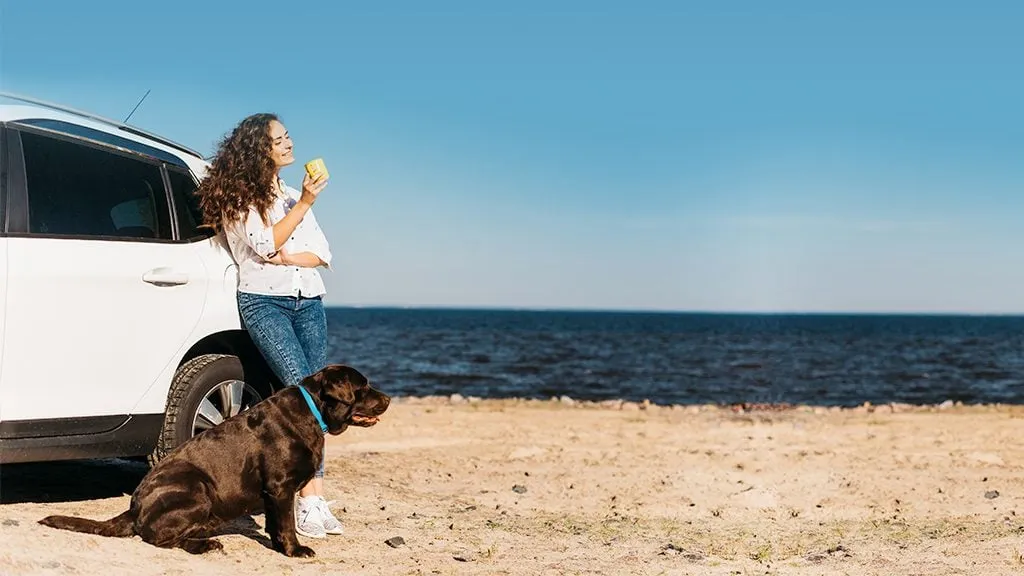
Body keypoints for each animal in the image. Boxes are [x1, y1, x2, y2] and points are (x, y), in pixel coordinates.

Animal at [37, 362, 389, 557]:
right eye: (364, 386)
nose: (387, 398)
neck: (313, 412)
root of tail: (134, 507)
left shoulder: (274, 493)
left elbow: (275, 524)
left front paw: (279, 546)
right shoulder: (279, 486)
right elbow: (286, 524)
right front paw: (294, 551)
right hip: (198, 487)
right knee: (157, 537)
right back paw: (204, 545)